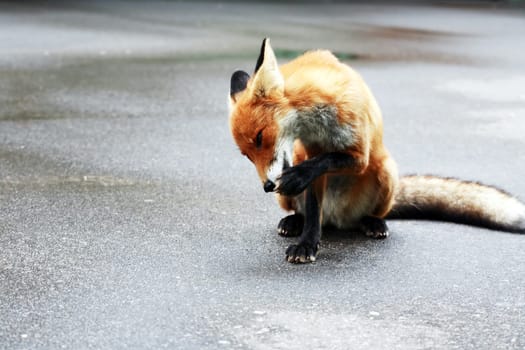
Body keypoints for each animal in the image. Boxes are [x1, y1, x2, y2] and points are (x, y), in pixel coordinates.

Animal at [228, 38, 524, 262]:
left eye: (259, 137)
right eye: (247, 155)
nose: (268, 186)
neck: (317, 118)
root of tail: (336, 219)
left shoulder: (359, 152)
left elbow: (326, 160)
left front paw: (298, 178)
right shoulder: (309, 152)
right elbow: (313, 210)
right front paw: (308, 243)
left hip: (385, 172)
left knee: (370, 213)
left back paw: (373, 222)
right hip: (292, 190)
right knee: (310, 214)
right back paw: (294, 222)